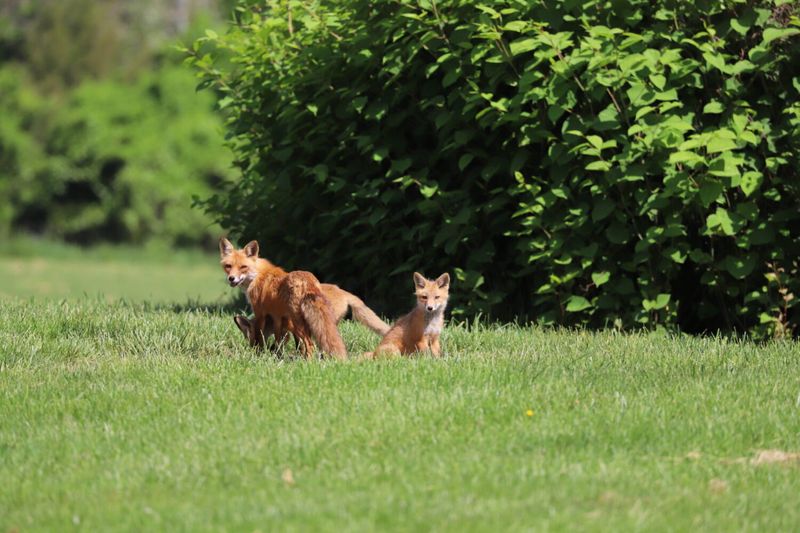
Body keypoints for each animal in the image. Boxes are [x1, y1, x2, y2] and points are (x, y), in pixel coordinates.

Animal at [219, 237, 389, 340]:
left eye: (243, 267)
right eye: (228, 266)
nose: (231, 278)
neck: (259, 275)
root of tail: (341, 290)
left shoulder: (261, 311)